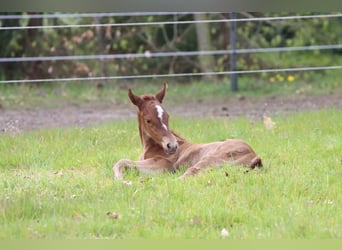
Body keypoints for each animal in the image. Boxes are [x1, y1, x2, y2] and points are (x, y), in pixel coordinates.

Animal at [112, 84, 262, 180]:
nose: (172, 146)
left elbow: (122, 161)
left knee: (188, 174)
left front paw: (121, 179)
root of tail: (254, 156)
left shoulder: (164, 164)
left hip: (209, 159)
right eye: (148, 120)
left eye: (167, 116)